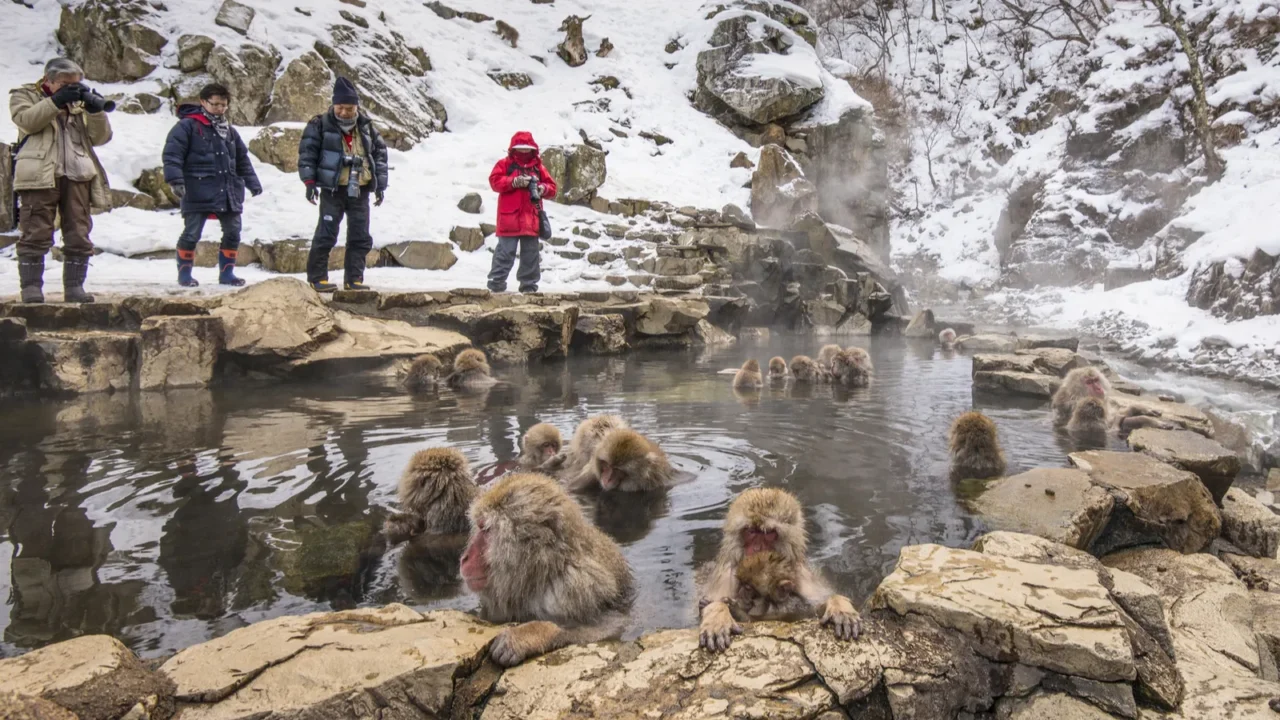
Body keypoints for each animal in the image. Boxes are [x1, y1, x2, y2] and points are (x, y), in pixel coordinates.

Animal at [459, 473, 634, 666]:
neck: (542, 571)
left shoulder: (579, 587)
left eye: (486, 529)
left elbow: (610, 626)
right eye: (480, 527)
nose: (464, 558)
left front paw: (528, 635)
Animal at [696, 487, 860, 651]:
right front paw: (717, 615)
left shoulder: (802, 575)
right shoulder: (725, 574)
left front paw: (838, 605)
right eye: (750, 531)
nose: (757, 548)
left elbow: (814, 606)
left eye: (768, 533)